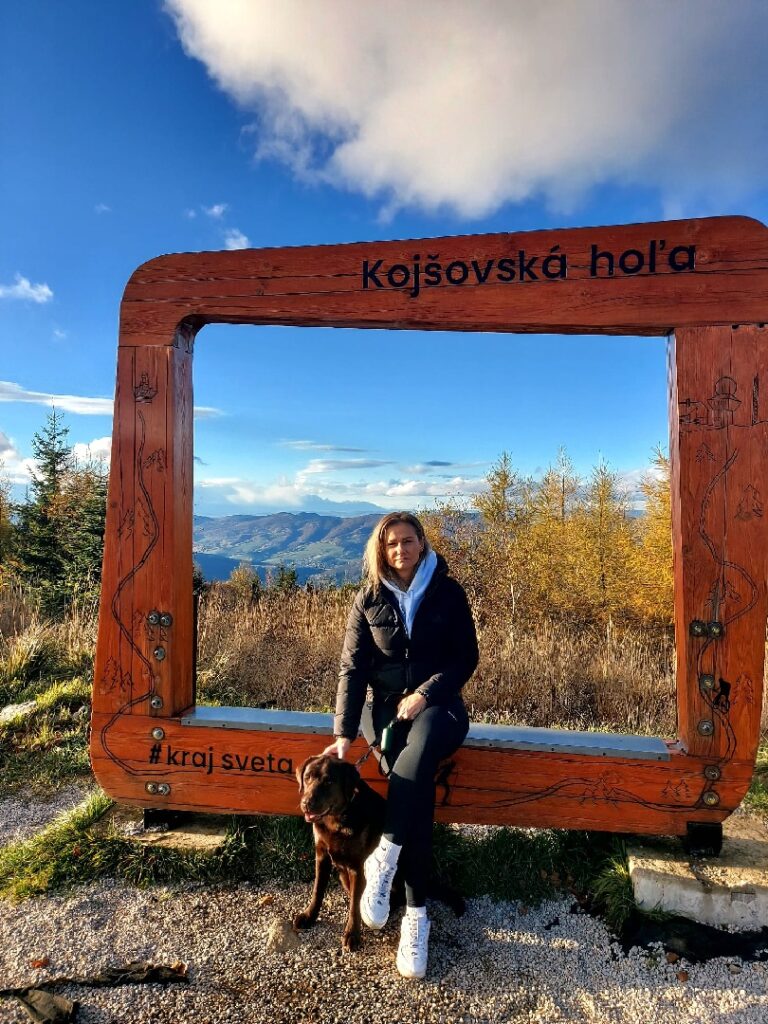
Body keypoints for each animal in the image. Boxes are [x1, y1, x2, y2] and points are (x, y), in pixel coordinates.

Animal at [293, 753, 464, 951]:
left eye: (329, 781)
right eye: (307, 777)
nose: (306, 803)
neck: (336, 820)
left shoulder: (357, 867)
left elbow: (355, 906)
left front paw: (352, 934)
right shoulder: (322, 856)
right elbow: (318, 890)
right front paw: (309, 916)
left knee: (399, 897)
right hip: (343, 876)